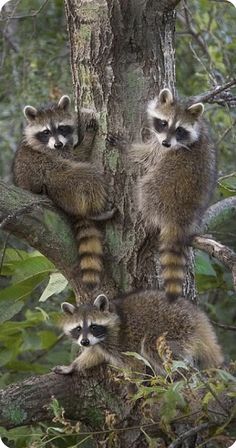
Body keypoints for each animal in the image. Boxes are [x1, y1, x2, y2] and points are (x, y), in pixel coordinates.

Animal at [53, 290, 223, 374]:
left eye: (93, 326)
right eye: (78, 328)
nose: (84, 342)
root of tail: (198, 317)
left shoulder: (121, 341)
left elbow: (134, 364)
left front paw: (135, 387)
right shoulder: (99, 344)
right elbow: (94, 355)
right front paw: (73, 365)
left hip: (175, 326)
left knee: (153, 348)